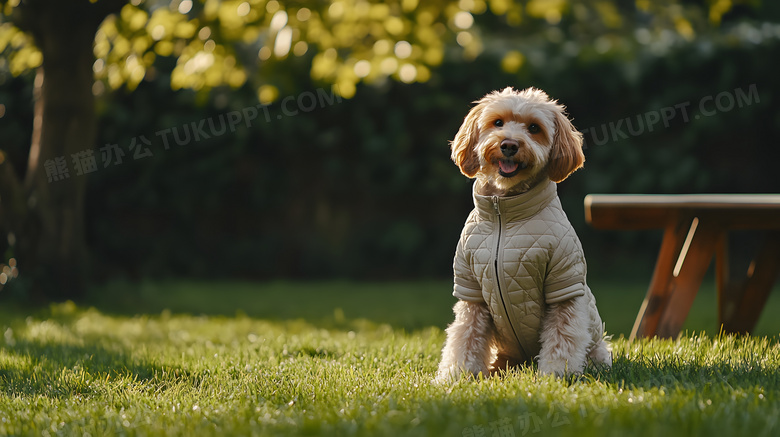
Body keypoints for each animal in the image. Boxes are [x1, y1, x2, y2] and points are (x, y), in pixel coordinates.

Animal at [436, 86, 612, 382]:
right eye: (497, 123)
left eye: (533, 128)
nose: (509, 144)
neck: (503, 213)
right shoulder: (471, 287)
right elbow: (466, 335)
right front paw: (457, 374)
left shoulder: (563, 282)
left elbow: (562, 336)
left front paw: (557, 373)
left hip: (596, 345)